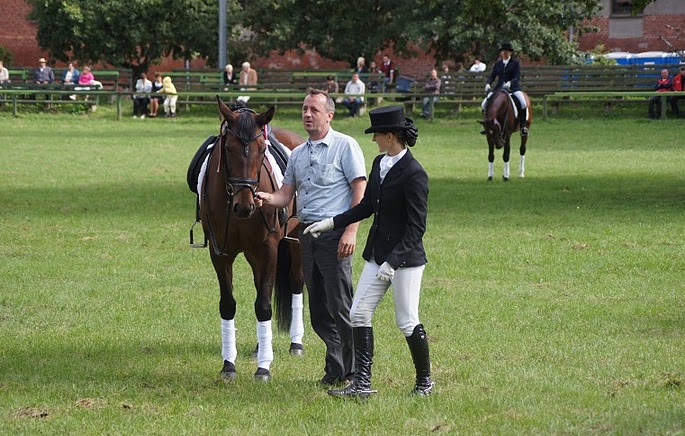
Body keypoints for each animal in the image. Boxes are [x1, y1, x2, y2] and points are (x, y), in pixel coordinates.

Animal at [197, 97, 305, 382]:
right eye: (229, 148)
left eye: (261, 150)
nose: (244, 206)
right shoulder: (221, 253)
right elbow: (228, 304)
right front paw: (228, 365)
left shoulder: (268, 249)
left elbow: (264, 305)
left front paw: (264, 368)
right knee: (261, 288)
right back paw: (259, 347)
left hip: (295, 240)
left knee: (295, 283)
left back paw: (296, 343)